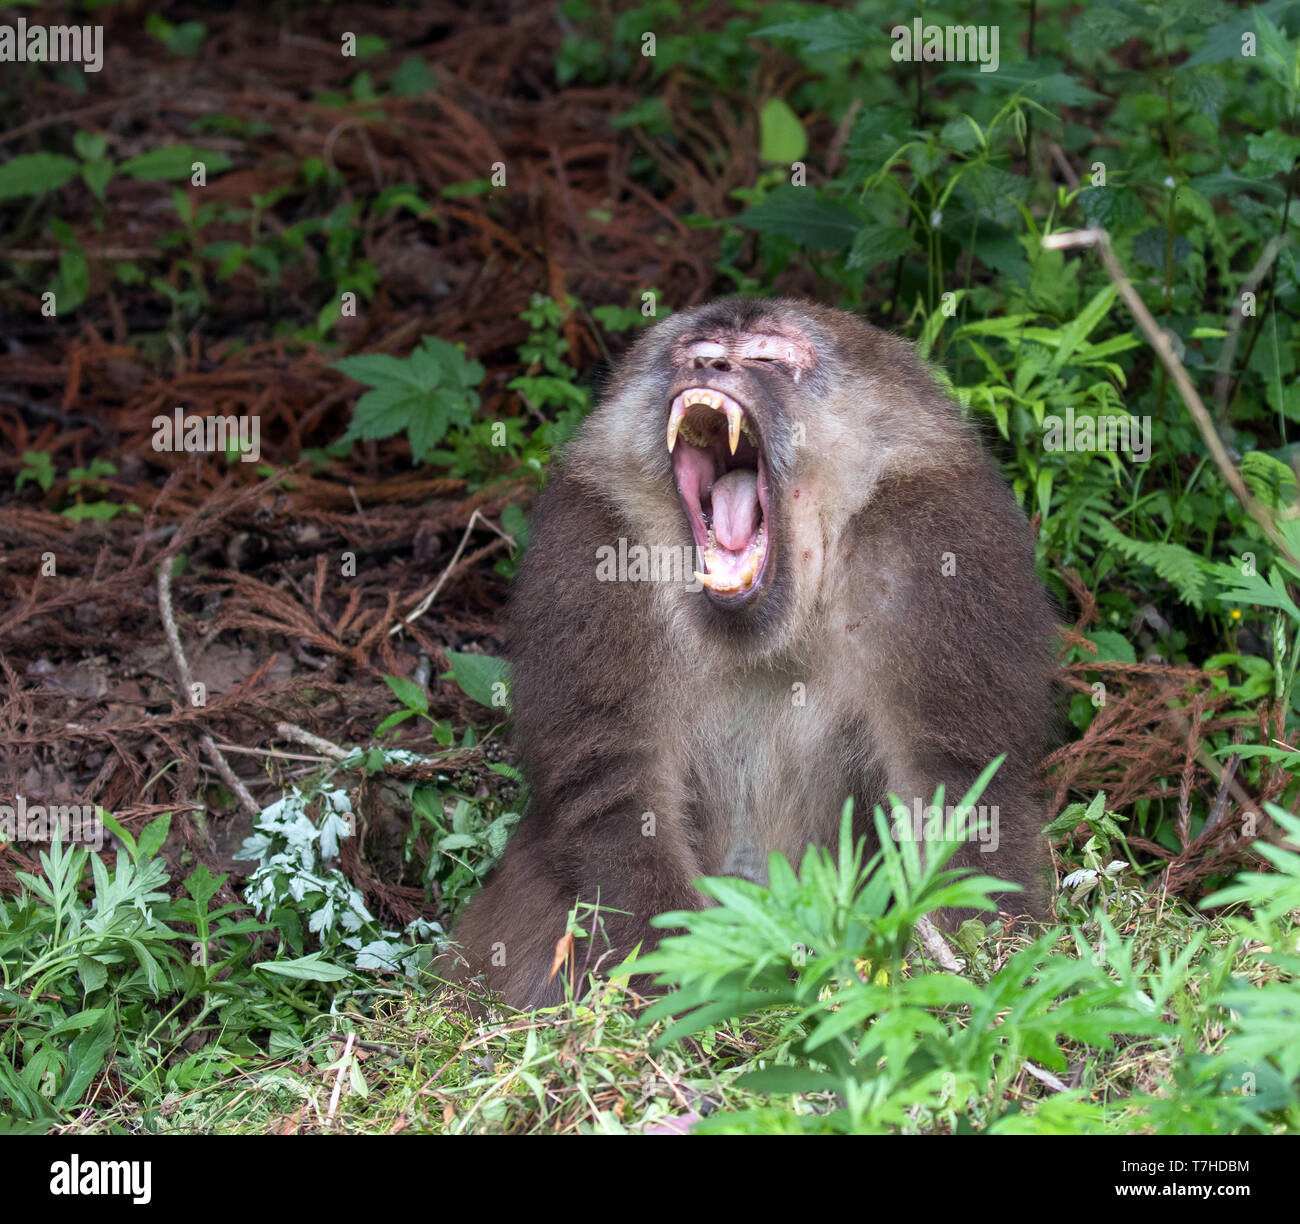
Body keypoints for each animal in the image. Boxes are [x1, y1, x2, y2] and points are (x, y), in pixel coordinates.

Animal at [447, 297, 1058, 1010]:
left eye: (768, 355)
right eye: (698, 352)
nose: (713, 368)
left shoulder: (938, 546)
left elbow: (955, 786)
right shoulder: (590, 549)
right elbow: (613, 794)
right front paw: (688, 982)